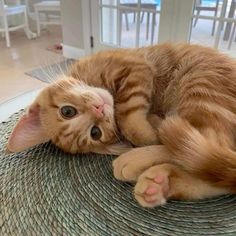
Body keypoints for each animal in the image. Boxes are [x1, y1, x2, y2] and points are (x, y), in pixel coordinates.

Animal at [6, 43, 236, 207]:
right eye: (95, 133)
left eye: (67, 111)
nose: (99, 109)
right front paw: (152, 124)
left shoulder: (134, 67)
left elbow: (128, 116)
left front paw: (148, 131)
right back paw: (160, 183)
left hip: (200, 80)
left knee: (210, 145)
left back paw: (139, 161)